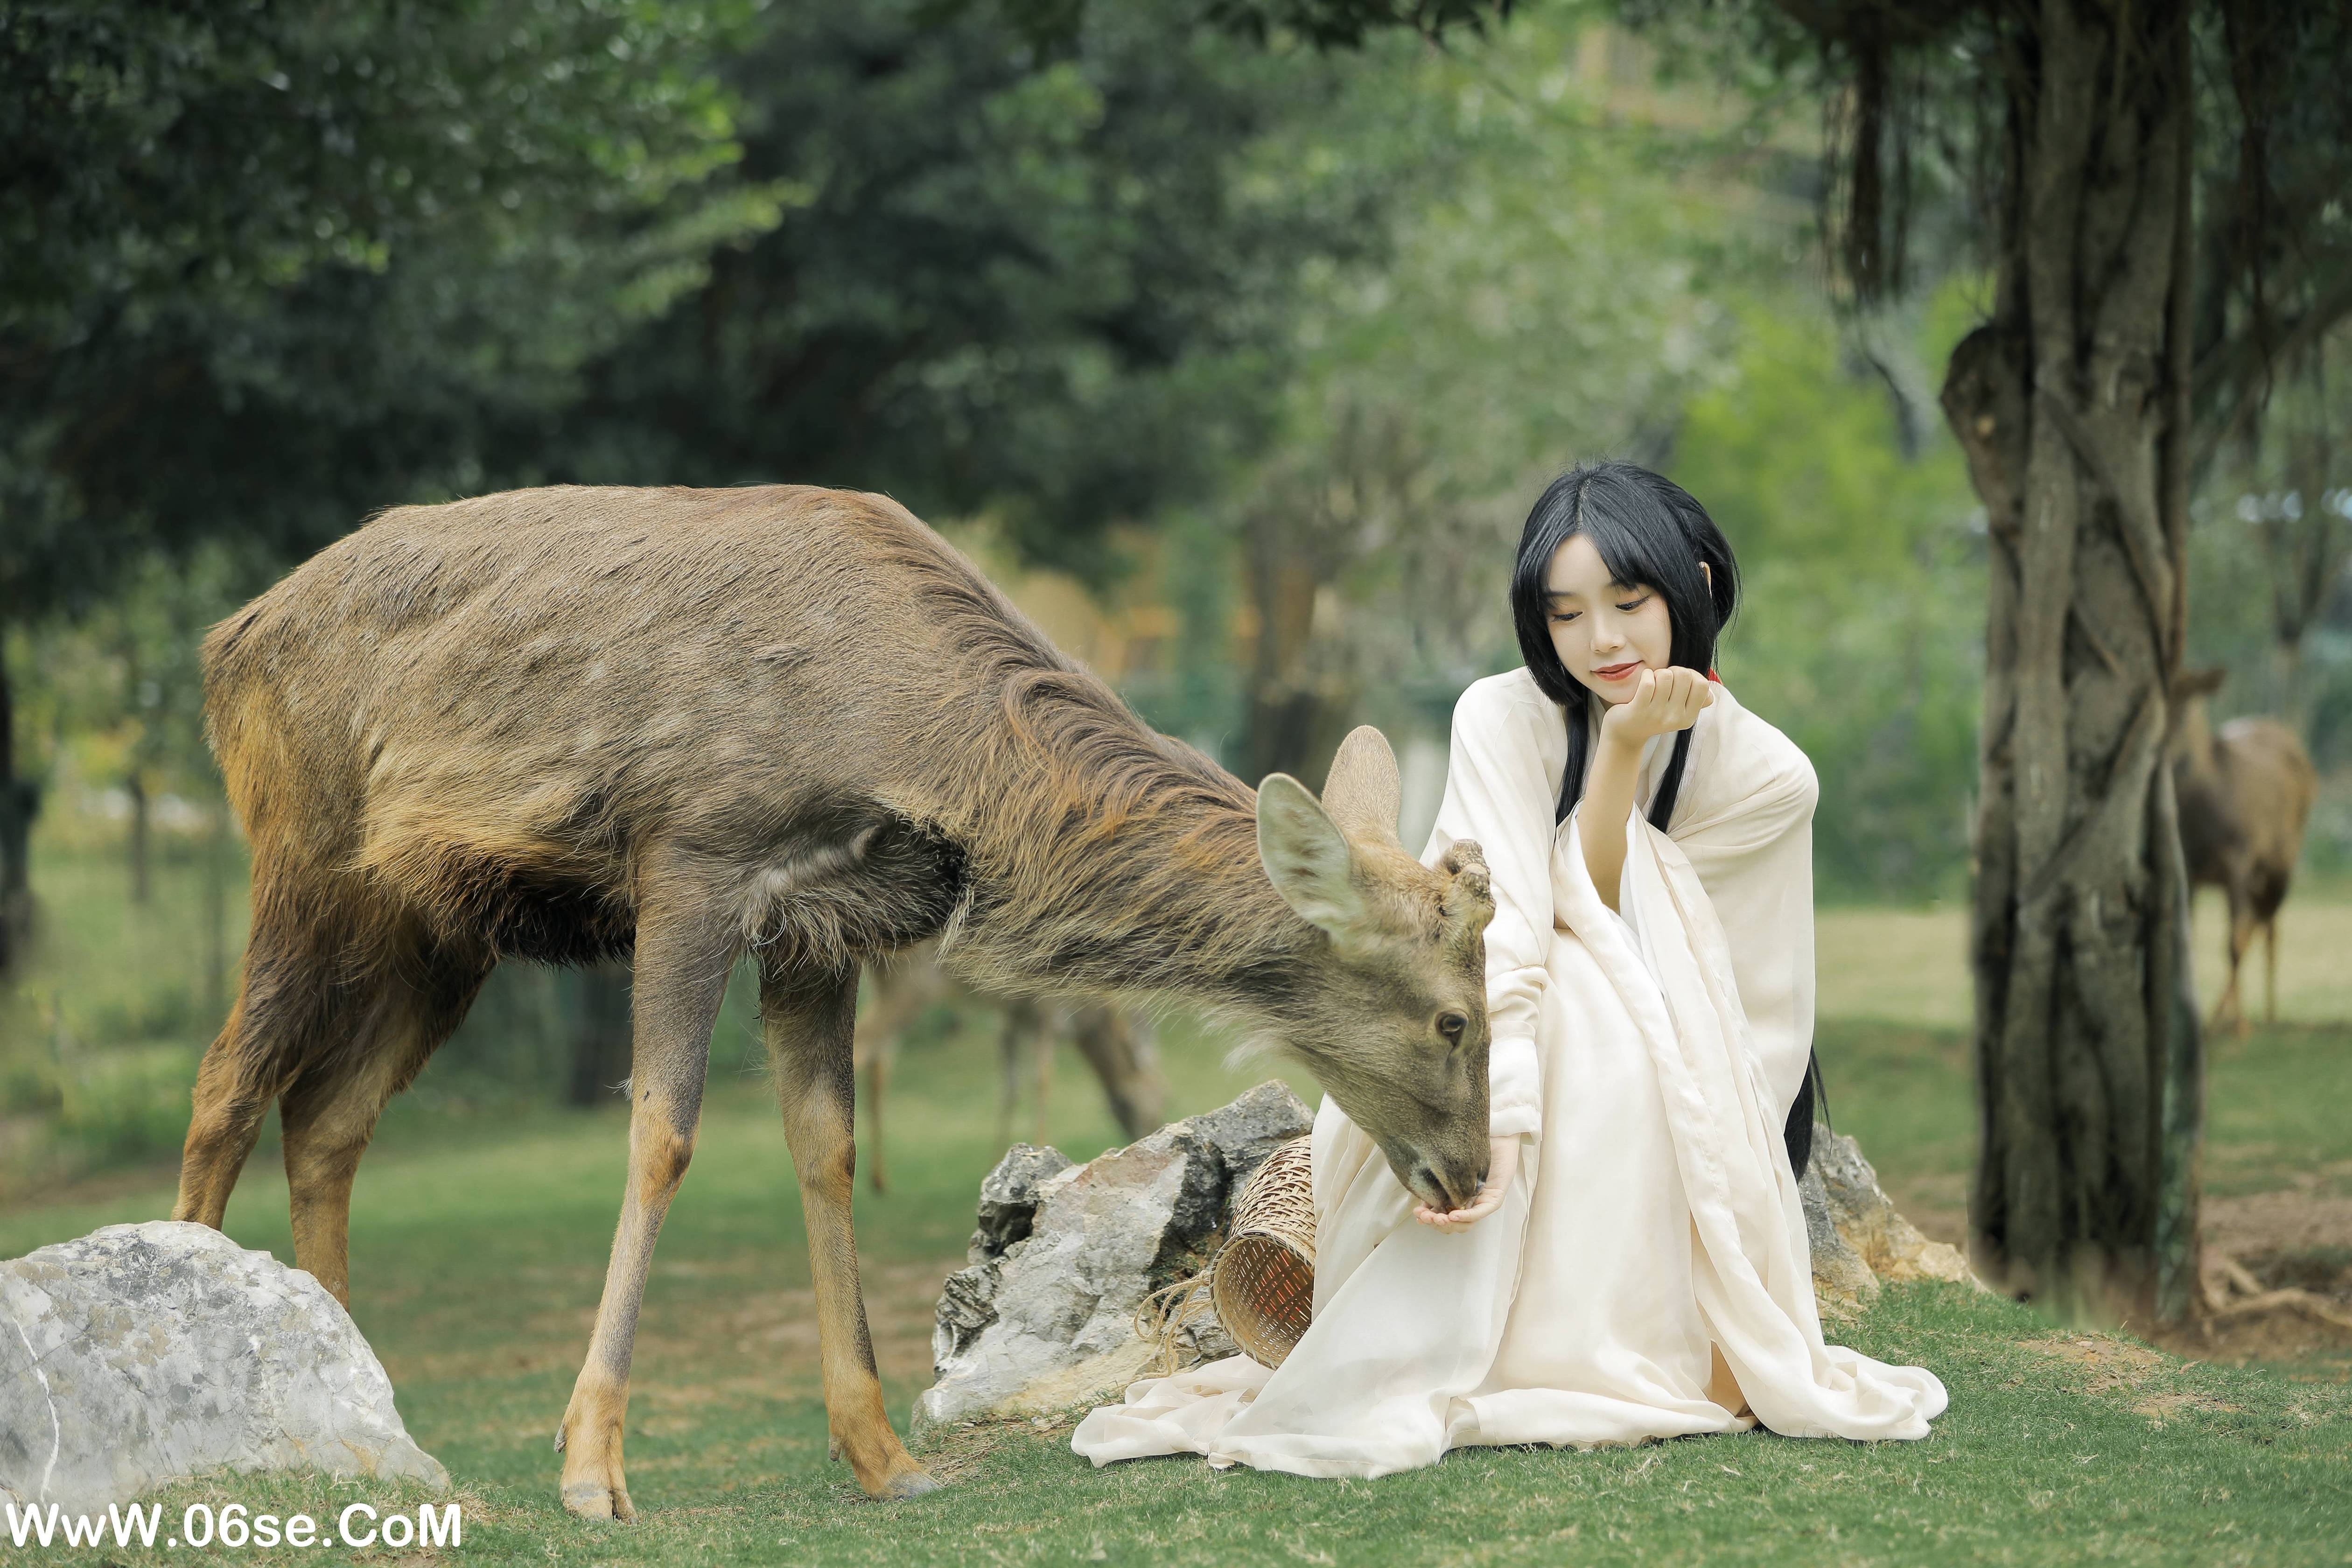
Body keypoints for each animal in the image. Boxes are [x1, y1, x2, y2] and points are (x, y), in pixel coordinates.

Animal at [173, 484, 1496, 1519]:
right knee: (227, 1084)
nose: (1469, 1176)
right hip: (303, 848)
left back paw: (374, 1421)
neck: (924, 746)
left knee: (329, 1116)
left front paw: (881, 1454)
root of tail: (224, 642)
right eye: (1455, 1018)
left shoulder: (826, 928)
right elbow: (663, 1133)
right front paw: (592, 1464)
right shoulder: (695, 857)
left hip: (440, 924)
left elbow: (825, 1146)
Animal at [2171, 668, 2319, 1034]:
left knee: (2267, 925)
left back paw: (2268, 1013)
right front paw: (2198, 1021)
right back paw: (2221, 1013)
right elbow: (2192, 943)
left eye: (2189, 695)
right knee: (2257, 920)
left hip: (2283, 859)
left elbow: (2232, 944)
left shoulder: (2239, 857)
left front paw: (2240, 1028)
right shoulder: (2190, 867)